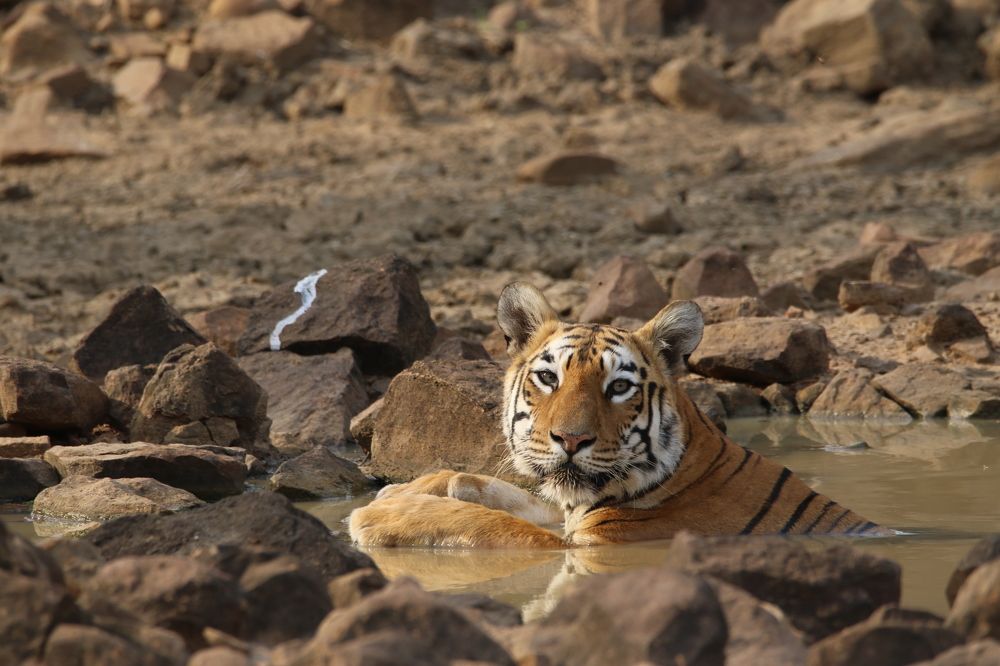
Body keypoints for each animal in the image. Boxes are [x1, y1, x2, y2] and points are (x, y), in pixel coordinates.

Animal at [349, 282, 889, 548]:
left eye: (620, 387)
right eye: (549, 378)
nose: (570, 440)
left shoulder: (592, 546)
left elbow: (502, 528)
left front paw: (381, 514)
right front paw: (408, 489)